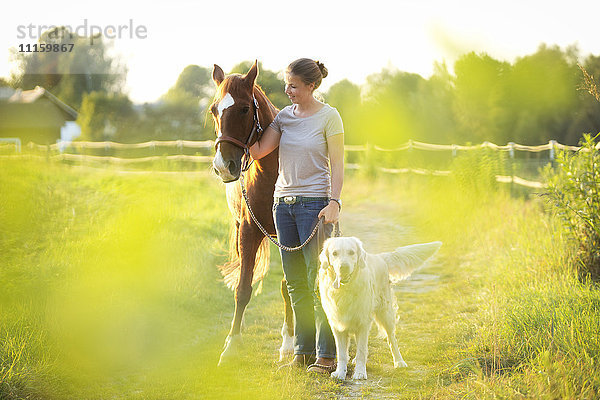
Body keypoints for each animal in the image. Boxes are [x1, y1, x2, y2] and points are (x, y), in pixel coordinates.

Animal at [211, 61, 296, 364]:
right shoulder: (248, 232)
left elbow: (288, 286)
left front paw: (288, 343)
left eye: (245, 109)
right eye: (214, 109)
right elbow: (243, 288)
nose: (223, 166)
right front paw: (231, 345)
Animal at [318, 238, 440, 382]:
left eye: (351, 252)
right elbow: (342, 353)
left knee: (391, 339)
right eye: (334, 253)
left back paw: (399, 362)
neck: (344, 290)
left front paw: (360, 372)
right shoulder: (337, 324)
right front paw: (340, 373)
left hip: (385, 313)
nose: (344, 267)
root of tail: (380, 257)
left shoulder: (363, 322)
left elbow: (362, 350)